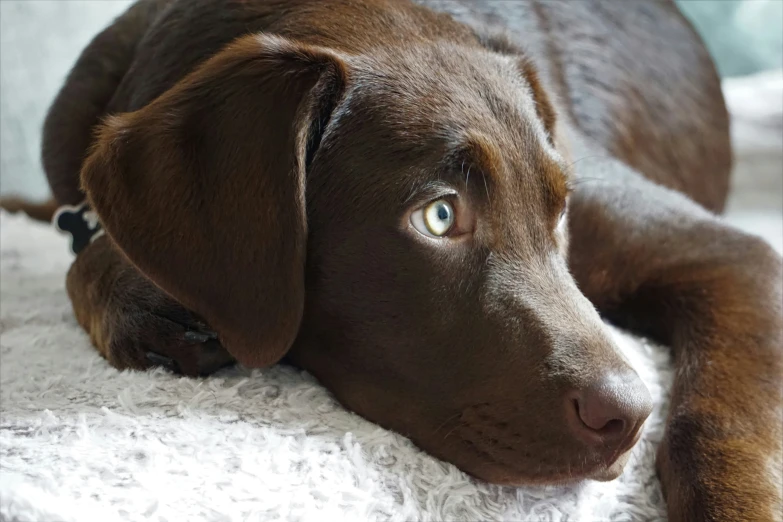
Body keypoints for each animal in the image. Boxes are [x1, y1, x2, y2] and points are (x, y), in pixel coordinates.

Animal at [6, 0, 783, 516]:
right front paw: (133, 295)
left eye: (559, 209)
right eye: (438, 216)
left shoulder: (732, 253)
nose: (628, 416)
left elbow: (720, 422)